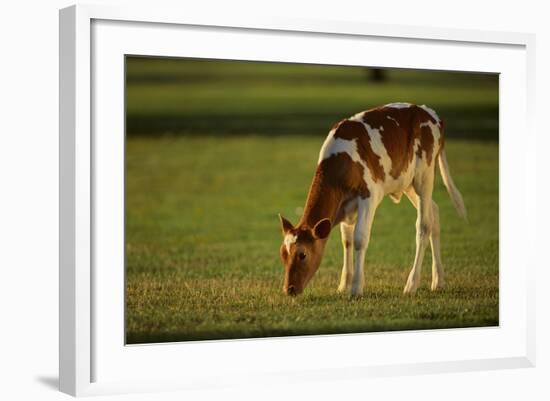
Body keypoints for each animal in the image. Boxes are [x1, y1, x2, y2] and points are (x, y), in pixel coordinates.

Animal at [280, 102, 466, 296]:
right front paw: (344, 285)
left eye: (302, 255)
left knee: (424, 225)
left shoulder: (369, 195)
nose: (288, 289)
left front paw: (356, 288)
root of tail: (429, 113)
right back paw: (438, 281)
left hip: (424, 175)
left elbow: (360, 238)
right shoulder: (345, 205)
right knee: (434, 212)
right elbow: (347, 240)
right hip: (406, 182)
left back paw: (412, 284)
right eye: (283, 254)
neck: (342, 163)